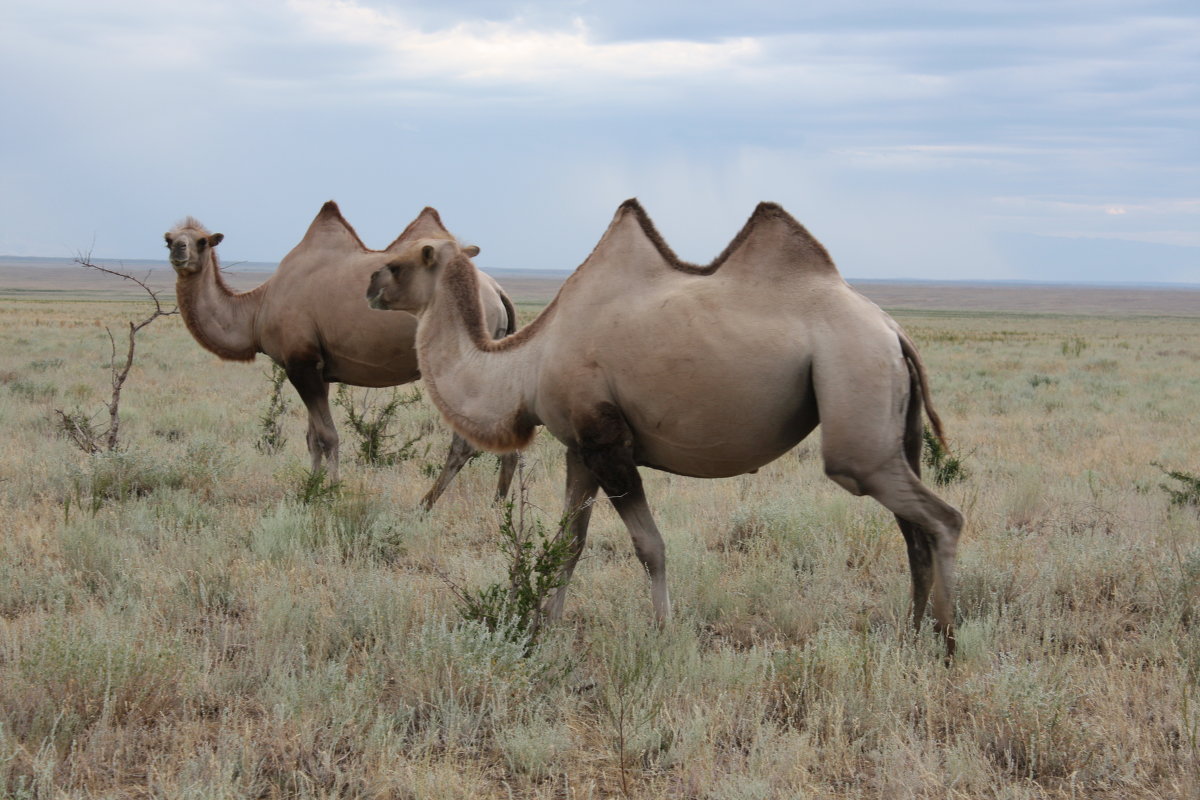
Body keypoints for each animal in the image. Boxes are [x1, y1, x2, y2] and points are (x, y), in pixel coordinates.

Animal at [163, 203, 516, 510]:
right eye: (168, 237)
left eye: (202, 241)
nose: (179, 251)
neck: (256, 309)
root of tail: (497, 291)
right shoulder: (316, 369)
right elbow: (312, 438)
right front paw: (310, 489)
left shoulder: (300, 363)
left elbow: (328, 436)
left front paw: (332, 494)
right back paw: (498, 507)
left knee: (466, 441)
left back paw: (428, 505)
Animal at [362, 200, 964, 657]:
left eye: (401, 261)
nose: (368, 285)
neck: (525, 367)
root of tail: (892, 330)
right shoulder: (578, 449)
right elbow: (569, 542)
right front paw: (545, 626)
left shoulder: (608, 443)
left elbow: (649, 545)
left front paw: (662, 632)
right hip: (894, 430)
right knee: (912, 529)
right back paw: (911, 635)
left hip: (853, 391)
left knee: (942, 519)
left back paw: (948, 641)